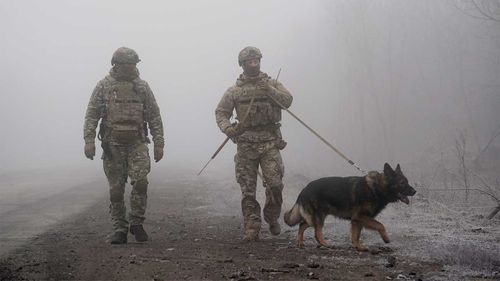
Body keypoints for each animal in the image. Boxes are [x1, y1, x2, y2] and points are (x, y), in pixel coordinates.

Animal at [284, 163, 416, 250]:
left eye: (407, 181)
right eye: (402, 183)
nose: (415, 191)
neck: (376, 188)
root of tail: (304, 189)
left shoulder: (357, 220)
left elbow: (355, 236)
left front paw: (358, 246)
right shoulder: (360, 216)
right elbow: (380, 225)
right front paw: (386, 238)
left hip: (315, 217)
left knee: (302, 224)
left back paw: (300, 242)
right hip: (319, 217)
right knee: (316, 232)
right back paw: (324, 243)